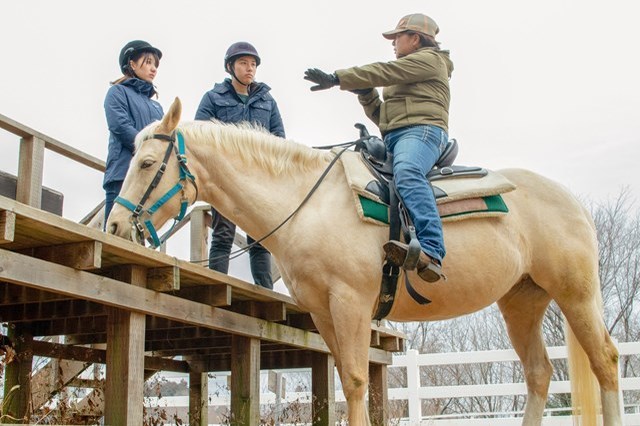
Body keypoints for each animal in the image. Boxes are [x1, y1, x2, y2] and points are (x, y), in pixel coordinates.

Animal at [107, 98, 624, 424]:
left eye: (148, 163)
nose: (114, 225)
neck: (308, 203)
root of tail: (572, 201)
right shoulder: (322, 311)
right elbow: (343, 381)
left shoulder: (351, 303)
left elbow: (355, 383)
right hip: (522, 301)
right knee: (539, 374)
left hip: (575, 294)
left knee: (606, 361)